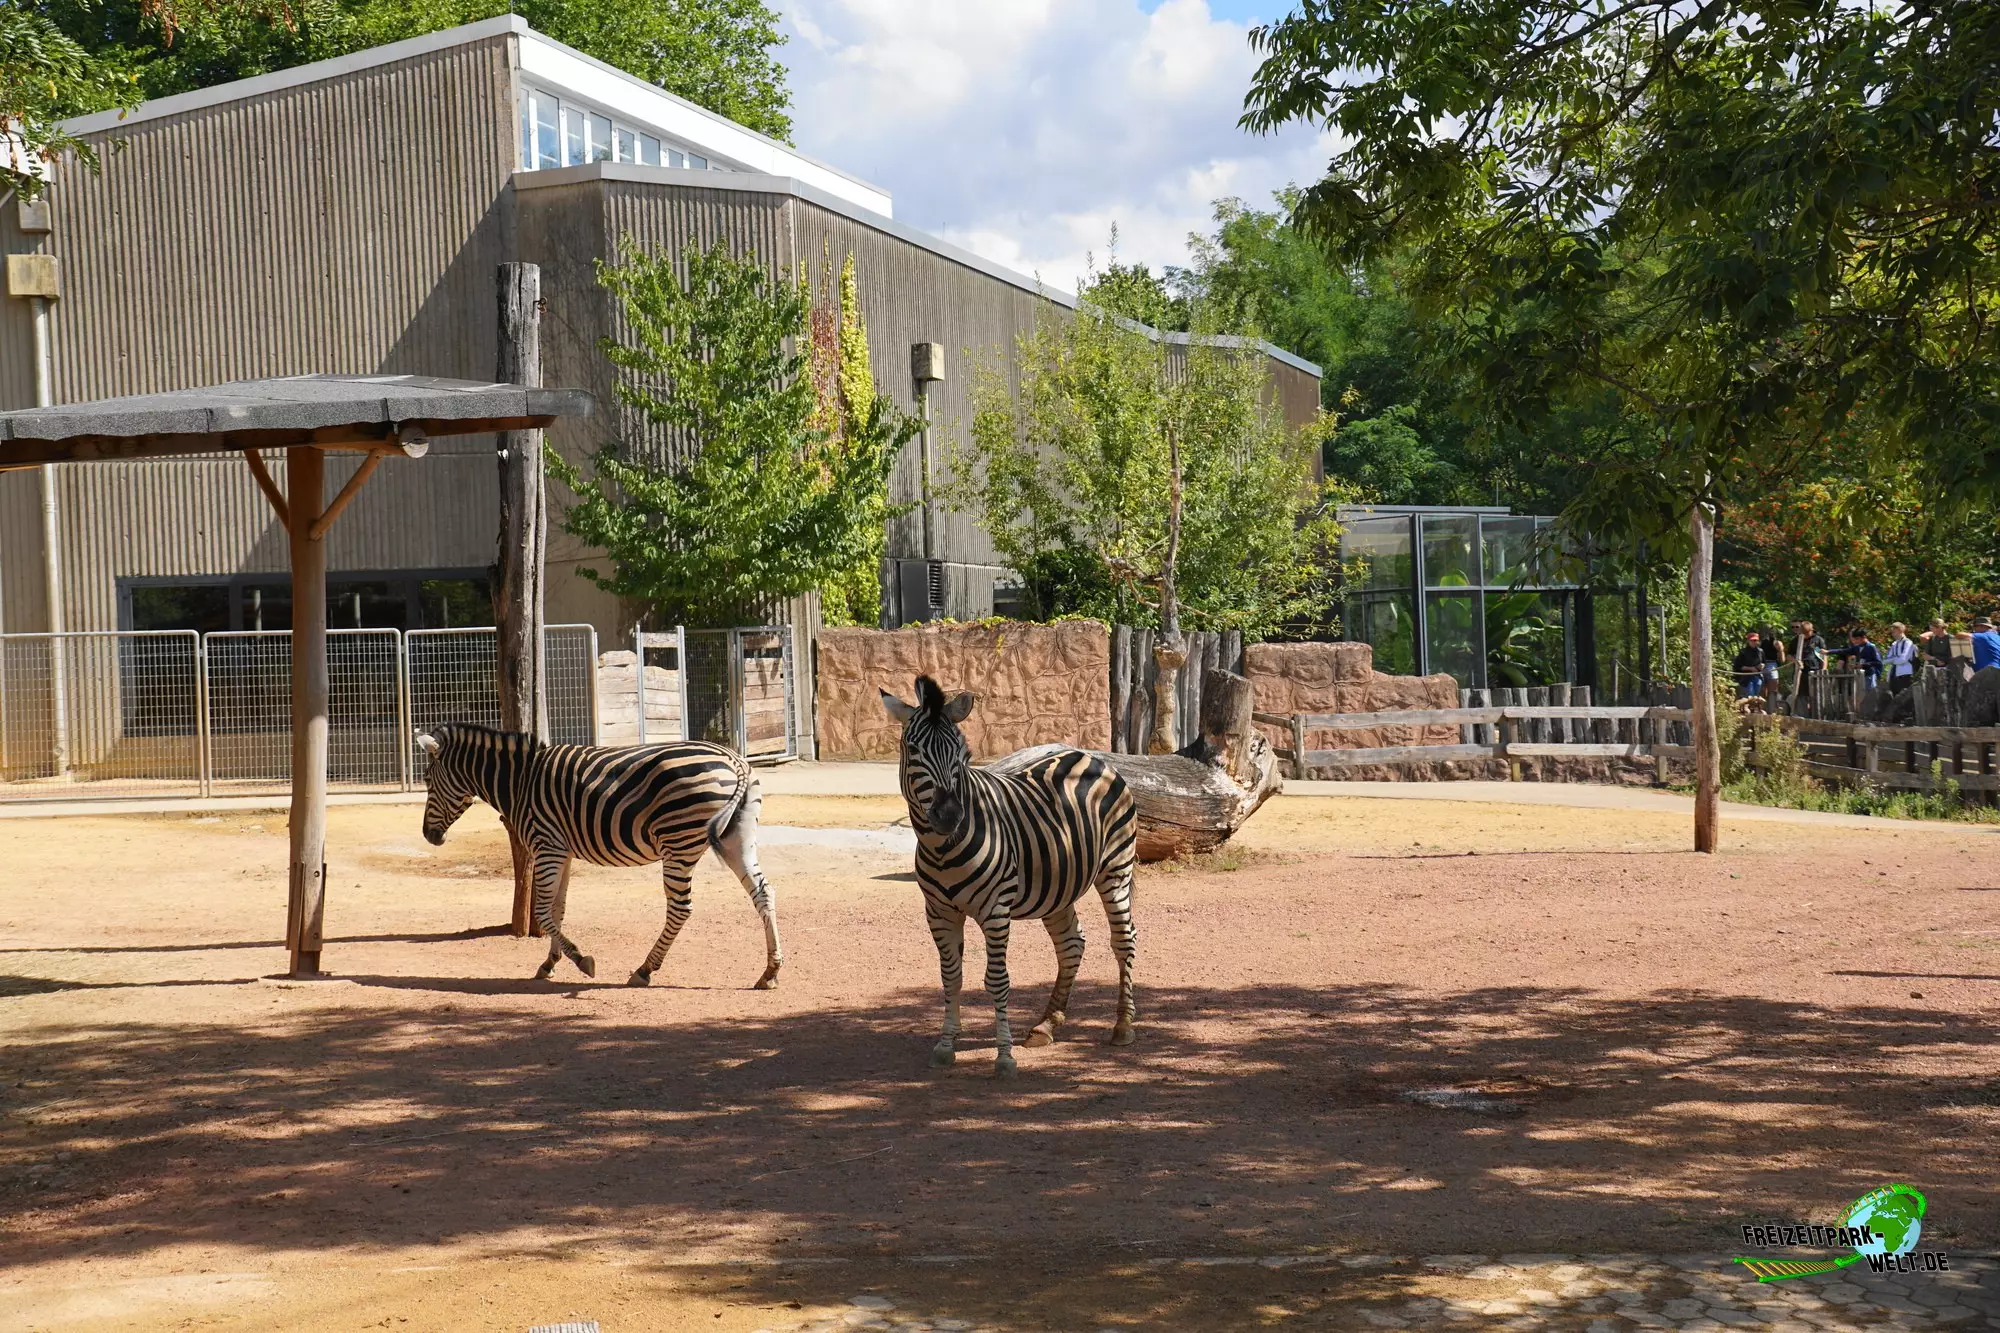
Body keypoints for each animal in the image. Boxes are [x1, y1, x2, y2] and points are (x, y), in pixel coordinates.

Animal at [414, 723, 781, 988]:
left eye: (428, 780)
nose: (429, 836)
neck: (520, 782)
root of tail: (736, 760)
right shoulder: (560, 851)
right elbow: (557, 909)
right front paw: (549, 963)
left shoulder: (546, 846)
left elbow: (543, 912)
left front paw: (582, 960)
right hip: (737, 837)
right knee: (763, 893)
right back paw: (770, 971)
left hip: (678, 841)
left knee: (681, 908)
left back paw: (645, 970)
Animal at [880, 675, 1138, 1076]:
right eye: (913, 748)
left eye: (964, 754)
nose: (949, 816)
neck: (942, 850)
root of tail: (1090, 756)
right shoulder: (938, 912)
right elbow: (950, 976)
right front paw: (945, 1045)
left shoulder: (995, 909)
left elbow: (997, 980)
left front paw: (1004, 1056)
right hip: (1059, 886)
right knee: (1071, 944)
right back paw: (1046, 1025)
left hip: (1116, 869)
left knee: (1124, 940)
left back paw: (1123, 1026)